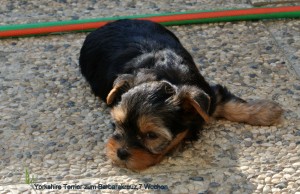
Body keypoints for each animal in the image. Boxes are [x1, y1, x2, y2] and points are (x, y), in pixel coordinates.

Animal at [78, 19, 282, 171]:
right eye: (117, 124)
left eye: (151, 135)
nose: (120, 153)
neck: (166, 78)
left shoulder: (208, 96)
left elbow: (231, 104)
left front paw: (266, 111)